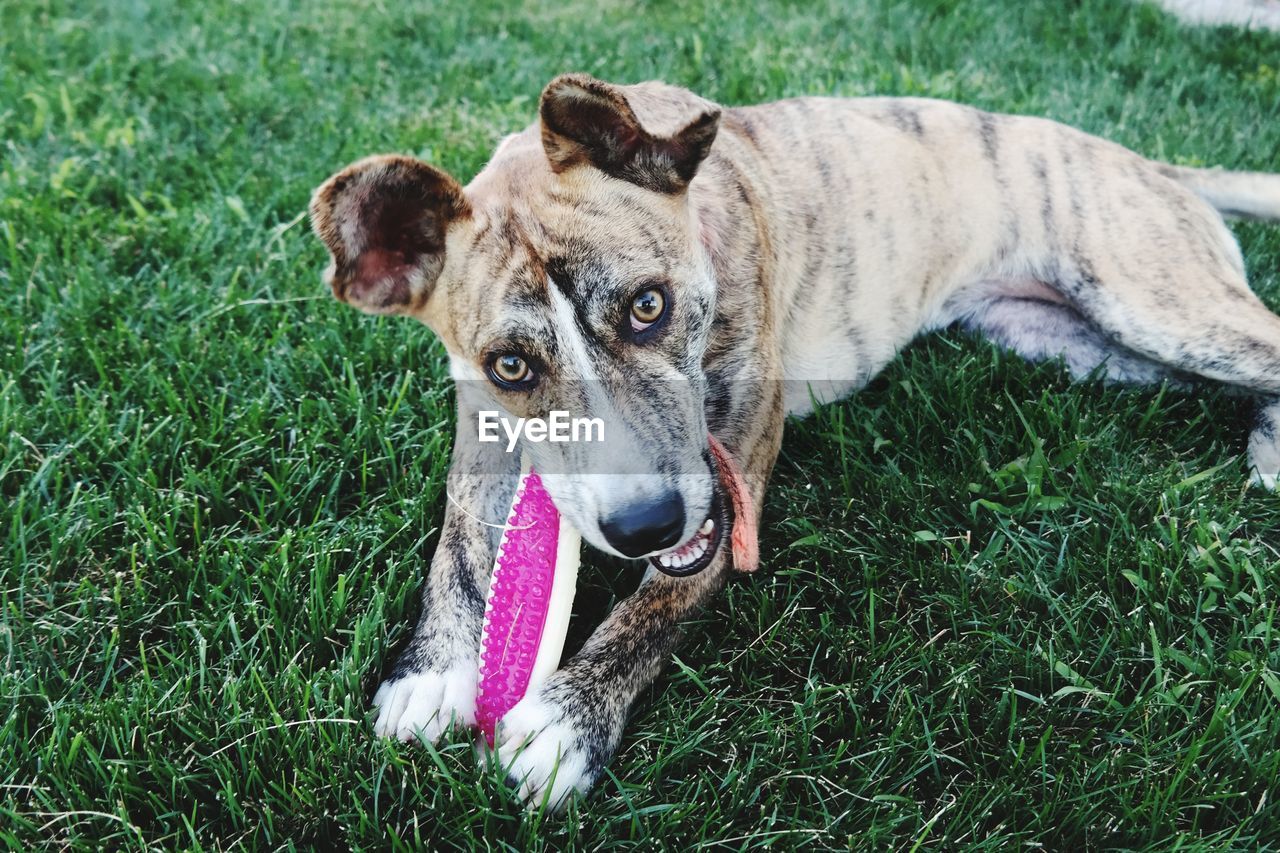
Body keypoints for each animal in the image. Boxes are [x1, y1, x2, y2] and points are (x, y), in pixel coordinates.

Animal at [309, 71, 1280, 804]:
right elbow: (459, 541)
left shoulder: (739, 452)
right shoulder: (482, 425)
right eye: (511, 364)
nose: (646, 524)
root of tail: (1144, 162)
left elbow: (668, 597)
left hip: (1150, 300)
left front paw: (570, 718)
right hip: (1085, 344)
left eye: (649, 304)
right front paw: (433, 669)